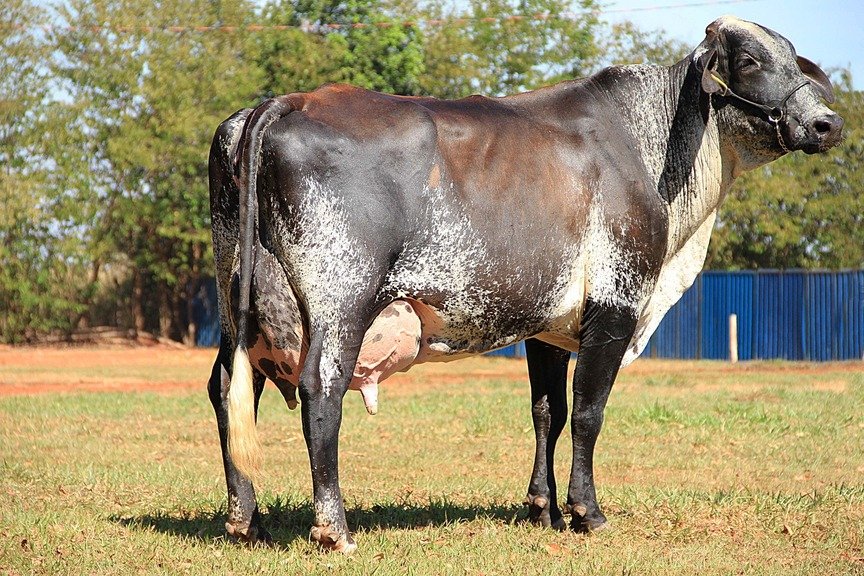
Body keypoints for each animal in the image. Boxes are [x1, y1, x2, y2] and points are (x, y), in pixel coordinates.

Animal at [206, 15, 840, 552]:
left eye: (794, 59)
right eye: (750, 60)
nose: (827, 123)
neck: (652, 147)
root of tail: (283, 101)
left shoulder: (549, 325)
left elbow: (547, 412)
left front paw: (543, 508)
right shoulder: (616, 303)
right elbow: (587, 412)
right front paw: (587, 513)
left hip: (237, 303)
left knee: (230, 387)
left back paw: (248, 521)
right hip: (341, 299)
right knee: (320, 389)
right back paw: (333, 529)